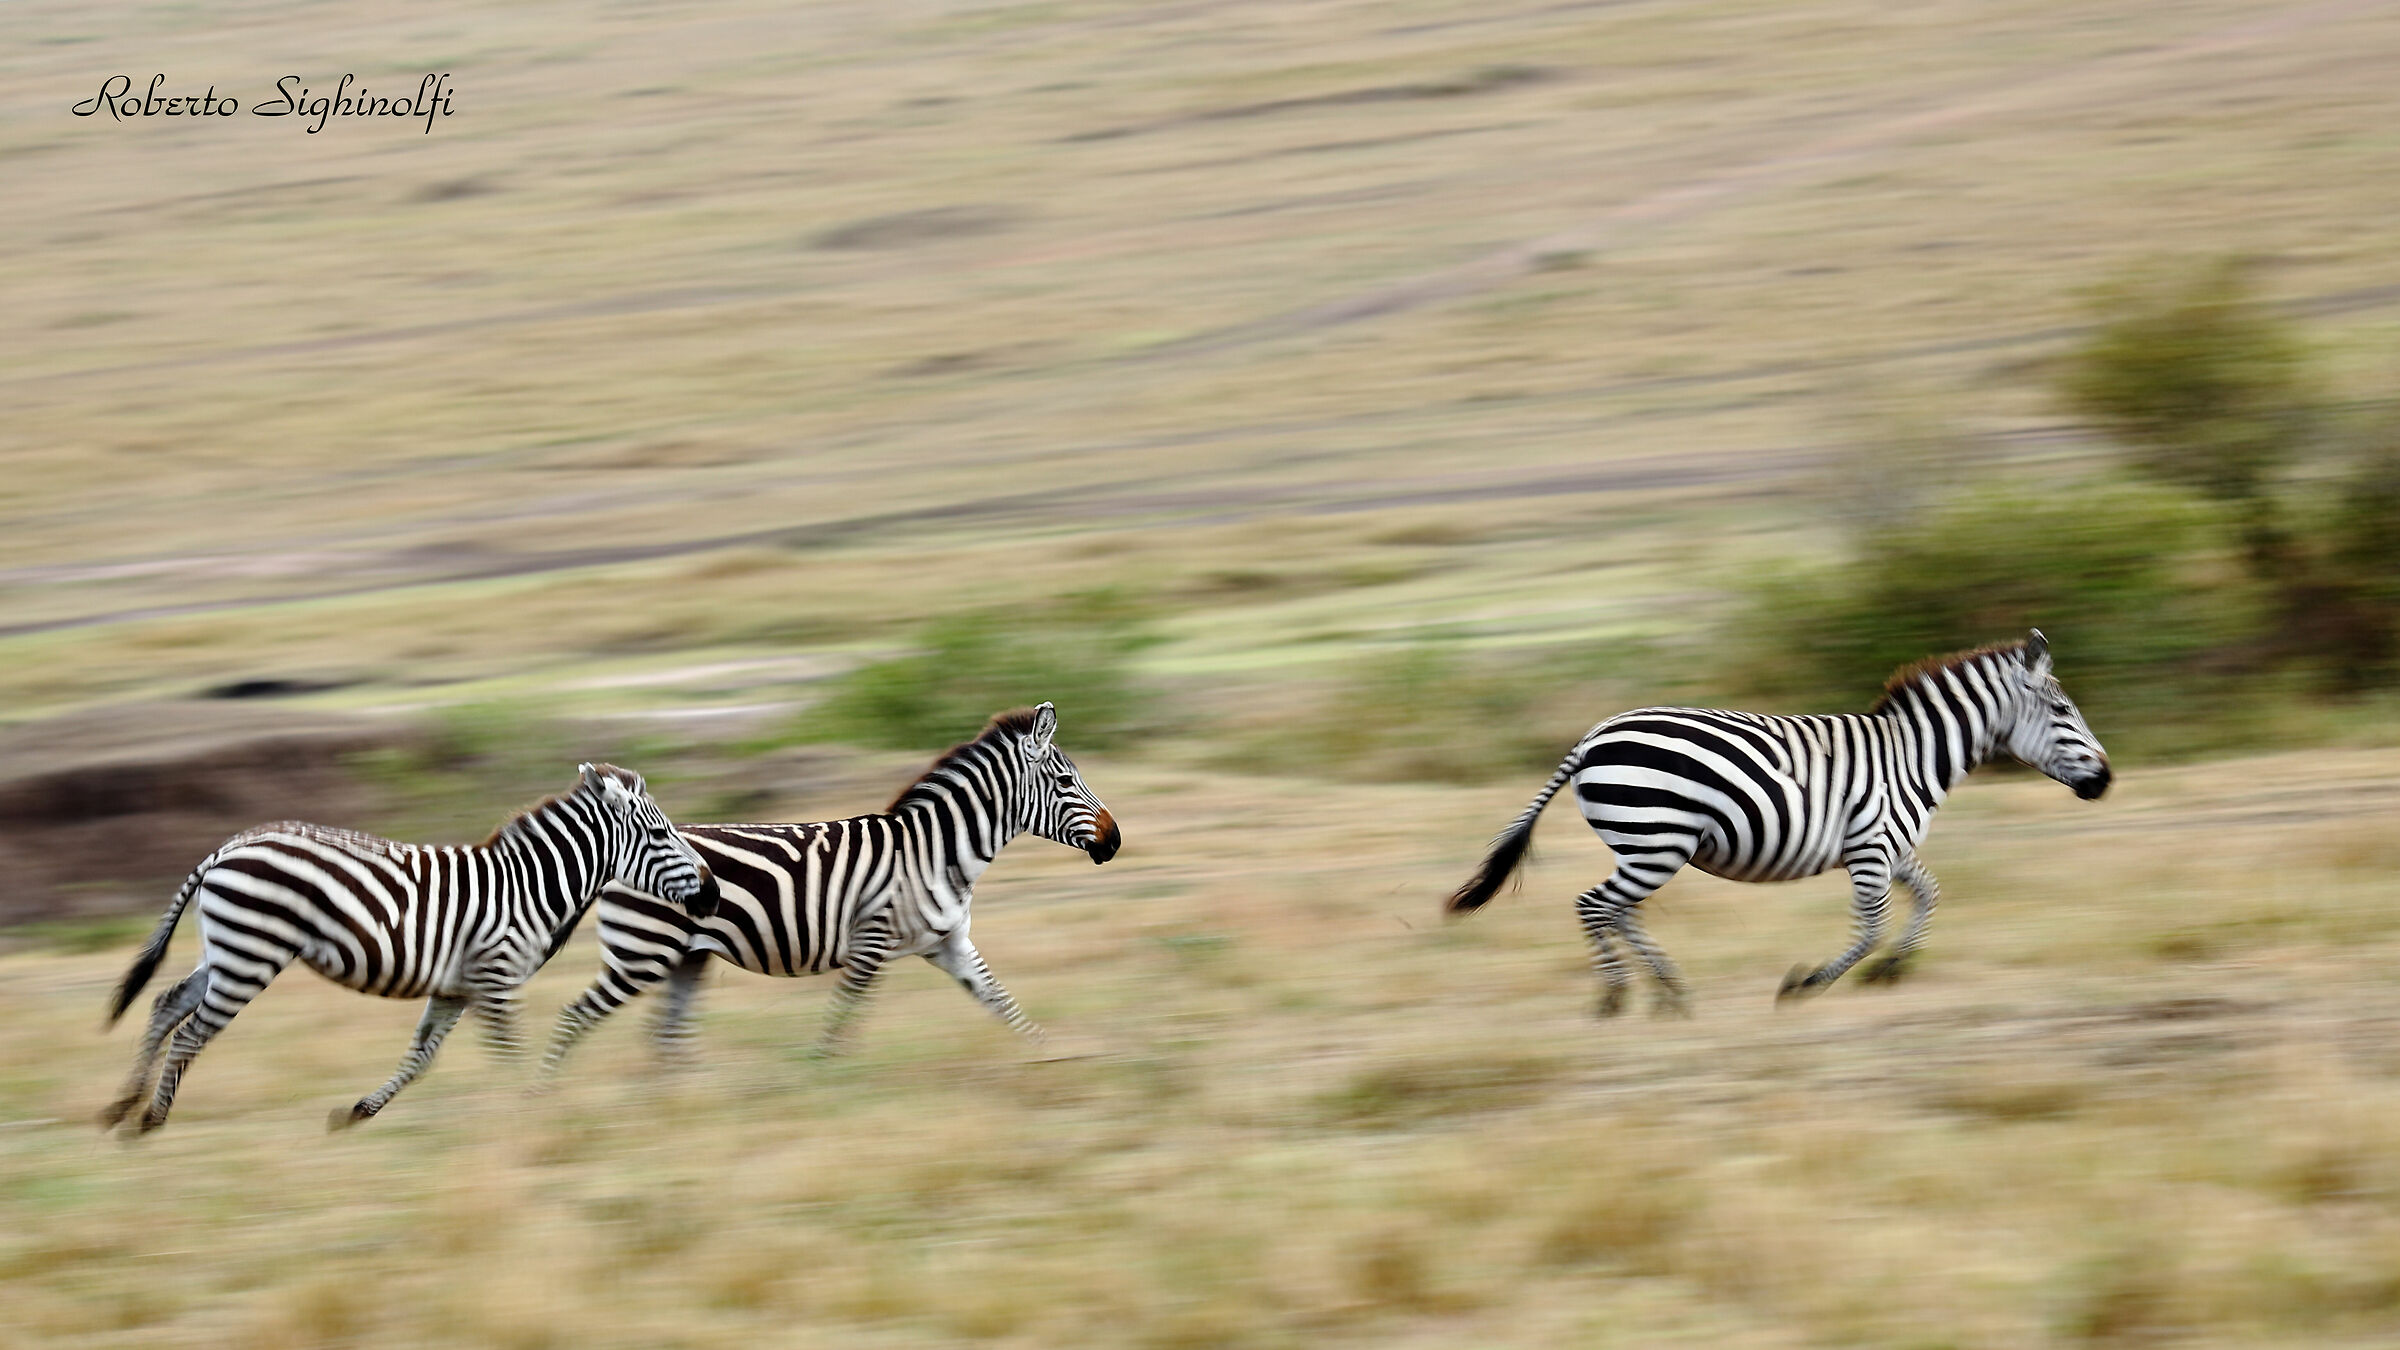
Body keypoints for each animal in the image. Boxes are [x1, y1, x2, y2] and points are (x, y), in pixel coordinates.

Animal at [98, 763, 713, 1134]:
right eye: (661, 835)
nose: (709, 893)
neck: (527, 885)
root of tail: (227, 847)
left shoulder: (457, 988)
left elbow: (421, 1058)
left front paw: (359, 1111)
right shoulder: (494, 976)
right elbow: (509, 1052)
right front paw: (526, 1115)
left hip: (227, 950)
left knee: (166, 1004)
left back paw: (120, 1107)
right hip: (253, 953)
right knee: (190, 1031)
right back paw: (151, 1119)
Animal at [540, 702, 1120, 1071]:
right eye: (1065, 782)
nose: (1114, 841)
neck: (936, 852)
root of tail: (614, 858)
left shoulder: (950, 943)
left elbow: (1003, 1003)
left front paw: (1052, 1057)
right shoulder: (870, 942)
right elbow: (841, 1020)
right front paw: (822, 1082)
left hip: (686, 957)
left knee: (664, 1038)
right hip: (643, 953)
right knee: (574, 1018)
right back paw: (544, 1100)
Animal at [1447, 631, 2109, 1011]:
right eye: (2062, 710)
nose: (2106, 781)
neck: (1910, 756)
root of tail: (1590, 738)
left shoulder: (1888, 849)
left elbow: (1930, 895)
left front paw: (1893, 970)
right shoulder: (1871, 849)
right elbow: (1870, 928)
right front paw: (1806, 985)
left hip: (1644, 844)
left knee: (1618, 910)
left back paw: (1669, 992)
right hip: (1657, 840)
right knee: (1594, 905)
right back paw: (1615, 996)